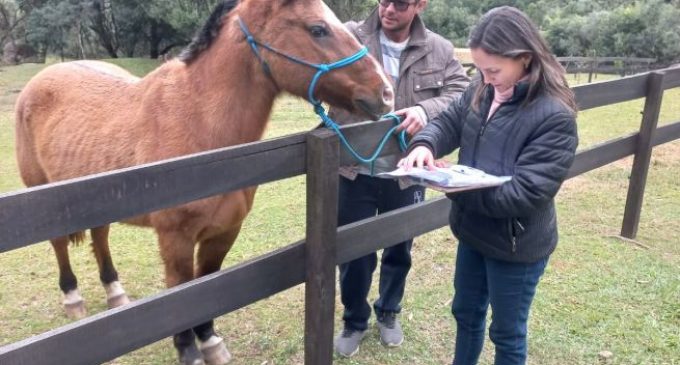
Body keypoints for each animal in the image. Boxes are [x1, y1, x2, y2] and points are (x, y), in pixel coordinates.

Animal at [13, 0, 394, 364]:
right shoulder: (175, 239)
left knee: (100, 236)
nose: (385, 93)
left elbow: (207, 284)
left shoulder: (223, 233)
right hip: (42, 195)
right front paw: (188, 350)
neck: (196, 124)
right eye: (318, 29)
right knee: (60, 244)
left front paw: (209, 342)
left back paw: (115, 292)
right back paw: (72, 298)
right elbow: (181, 292)